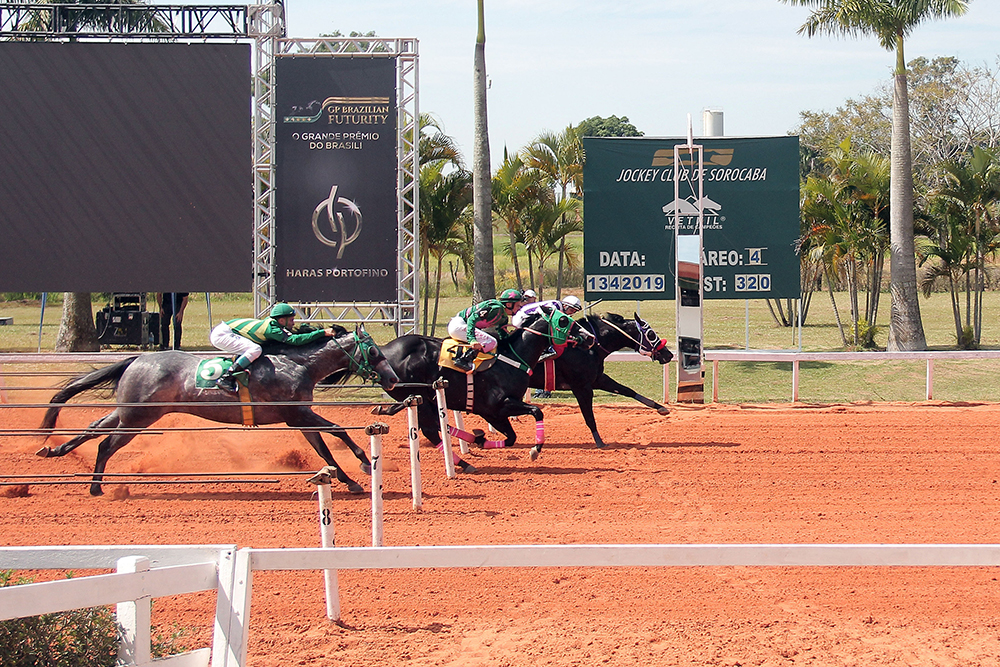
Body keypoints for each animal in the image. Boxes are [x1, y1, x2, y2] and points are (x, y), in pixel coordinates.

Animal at [38, 326, 398, 494]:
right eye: (373, 350)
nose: (394, 379)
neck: (300, 364)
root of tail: (136, 358)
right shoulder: (296, 414)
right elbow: (336, 430)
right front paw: (365, 463)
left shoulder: (298, 417)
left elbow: (324, 450)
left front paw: (349, 481)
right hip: (138, 417)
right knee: (105, 443)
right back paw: (95, 485)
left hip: (130, 412)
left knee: (95, 429)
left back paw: (55, 450)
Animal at [376, 306, 592, 470]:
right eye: (563, 320)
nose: (589, 337)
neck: (513, 357)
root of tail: (384, 350)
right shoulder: (498, 405)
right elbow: (537, 412)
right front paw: (535, 450)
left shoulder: (493, 413)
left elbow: (511, 438)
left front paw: (479, 439)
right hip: (419, 397)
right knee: (431, 429)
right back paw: (463, 463)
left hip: (425, 399)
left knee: (435, 426)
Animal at [532, 314, 672, 448]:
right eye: (651, 334)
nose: (669, 354)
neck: (588, 348)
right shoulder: (581, 387)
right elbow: (589, 417)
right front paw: (600, 442)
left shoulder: (598, 379)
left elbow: (627, 390)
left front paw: (660, 407)